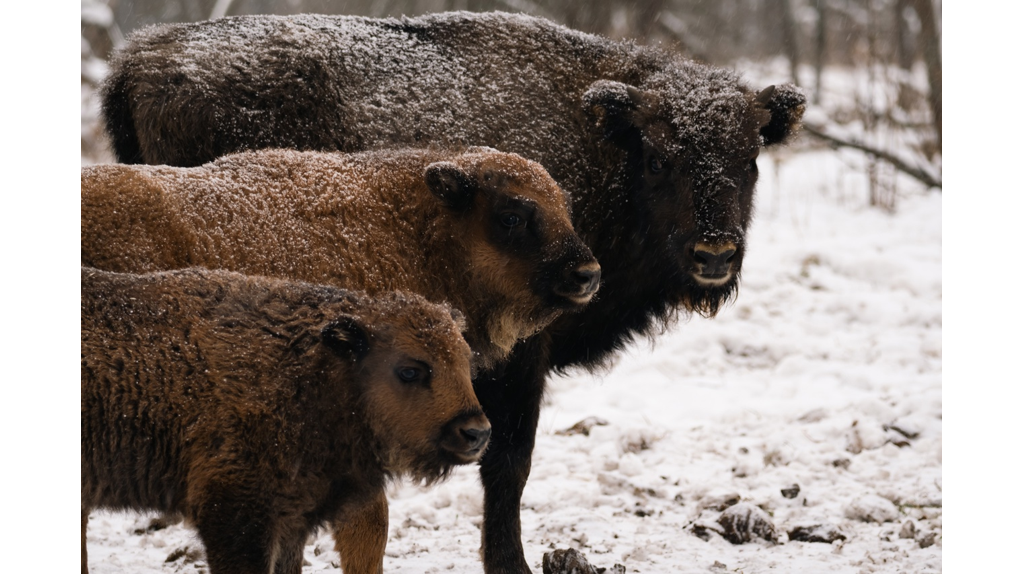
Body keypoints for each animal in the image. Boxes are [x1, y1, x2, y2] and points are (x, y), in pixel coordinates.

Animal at [79, 266, 487, 572]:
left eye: (465, 360)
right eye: (409, 370)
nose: (477, 433)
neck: (309, 370)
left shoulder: (292, 521)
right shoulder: (236, 517)